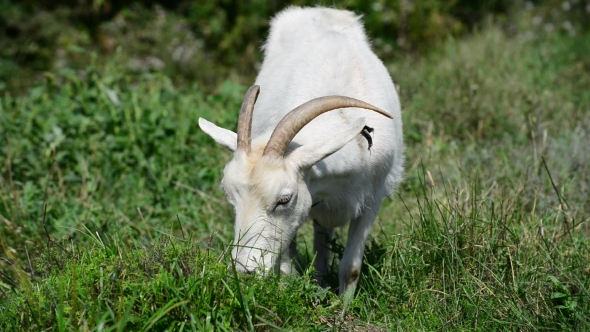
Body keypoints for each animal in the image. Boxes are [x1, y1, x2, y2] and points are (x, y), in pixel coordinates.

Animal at [201, 6, 404, 294]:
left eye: (284, 199)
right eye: (230, 196)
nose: (245, 271)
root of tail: (320, 10)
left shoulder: (372, 198)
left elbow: (351, 269)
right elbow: (287, 271)